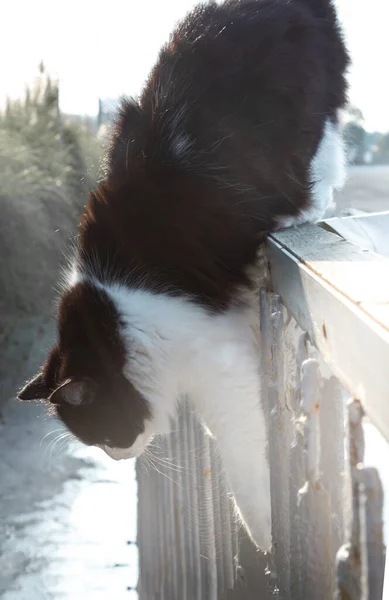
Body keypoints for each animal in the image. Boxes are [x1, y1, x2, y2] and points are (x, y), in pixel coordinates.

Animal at [17, 0, 348, 552]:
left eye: (102, 431)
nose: (118, 455)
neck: (119, 316)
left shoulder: (219, 364)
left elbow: (242, 458)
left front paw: (264, 537)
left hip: (303, 122)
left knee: (321, 170)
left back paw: (296, 216)